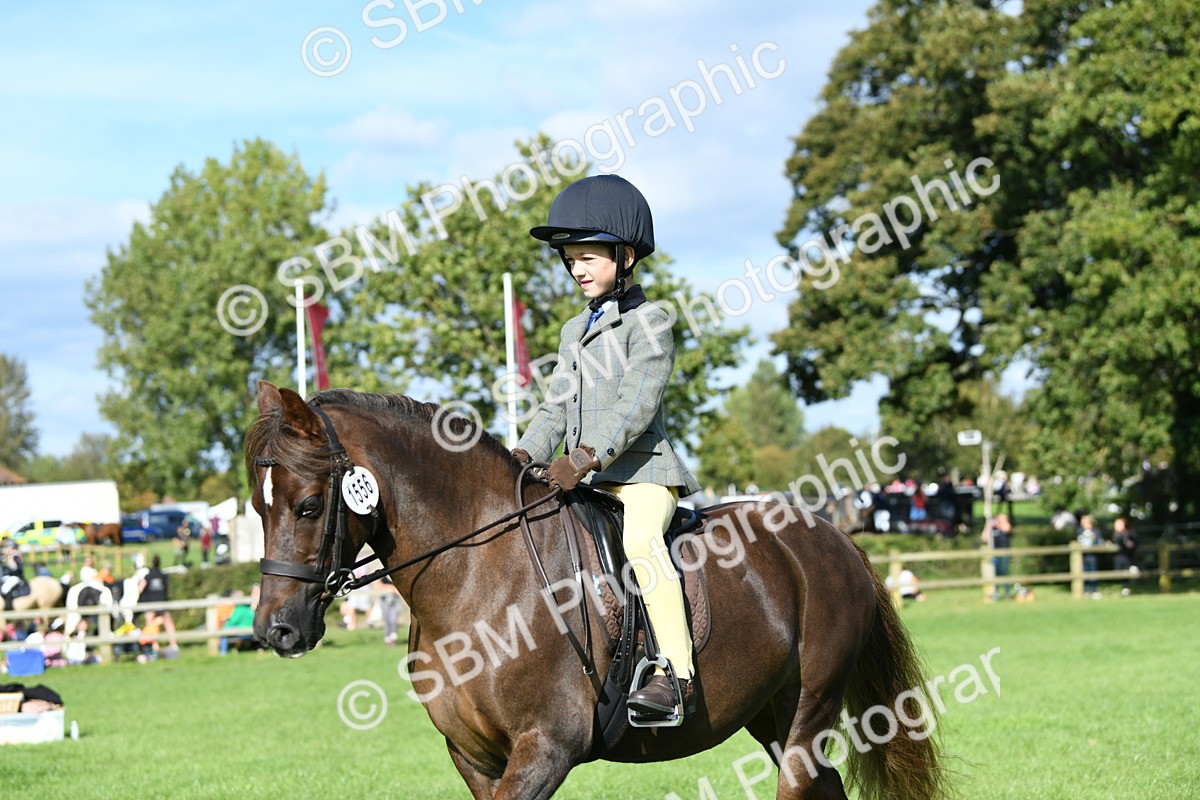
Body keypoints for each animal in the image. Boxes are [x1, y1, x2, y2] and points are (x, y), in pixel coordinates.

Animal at [246, 382, 950, 800]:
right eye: (258, 507)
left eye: (309, 506)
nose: (276, 630)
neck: (477, 578)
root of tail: (833, 538)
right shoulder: (475, 759)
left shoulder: (545, 749)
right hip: (773, 716)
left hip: (808, 713)